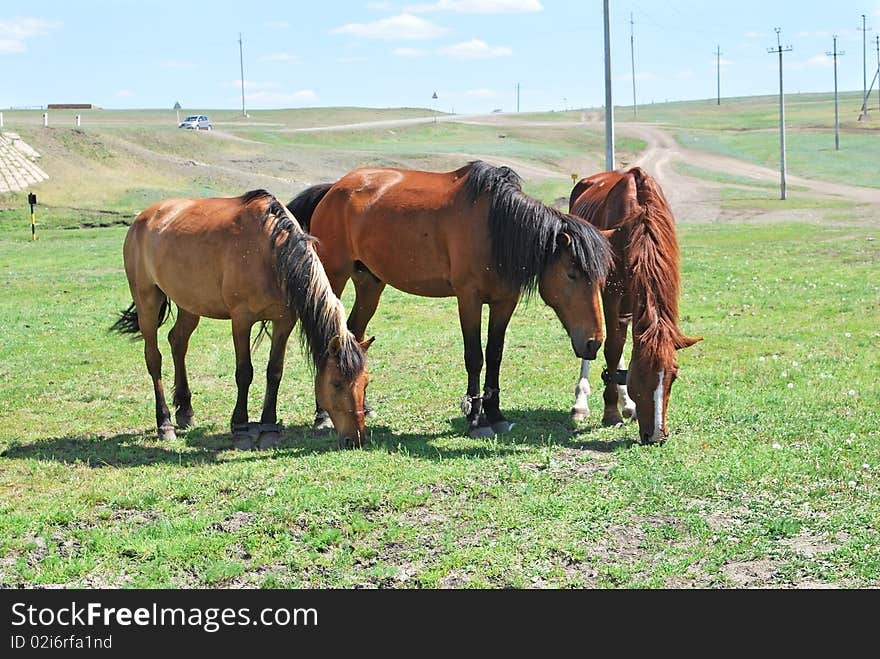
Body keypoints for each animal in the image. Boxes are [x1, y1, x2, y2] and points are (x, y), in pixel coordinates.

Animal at [110, 188, 372, 452]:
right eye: (337, 383)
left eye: (366, 383)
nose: (356, 439)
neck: (271, 252)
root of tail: (143, 218)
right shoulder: (241, 319)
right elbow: (244, 372)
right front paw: (241, 428)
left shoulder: (284, 321)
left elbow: (274, 371)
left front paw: (269, 428)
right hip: (147, 301)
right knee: (154, 358)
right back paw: (164, 424)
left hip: (189, 304)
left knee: (178, 341)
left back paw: (185, 411)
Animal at [288, 160, 612, 438]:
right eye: (572, 274)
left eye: (601, 278)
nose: (594, 342)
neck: (495, 227)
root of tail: (333, 189)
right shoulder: (468, 298)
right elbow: (475, 356)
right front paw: (476, 419)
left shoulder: (504, 301)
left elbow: (495, 355)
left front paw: (496, 415)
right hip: (333, 276)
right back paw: (323, 415)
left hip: (370, 282)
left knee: (354, 332)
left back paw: (364, 406)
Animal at [568, 168, 704, 446]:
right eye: (639, 375)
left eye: (673, 376)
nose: (656, 436)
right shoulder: (611, 293)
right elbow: (611, 347)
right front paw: (611, 412)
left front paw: (625, 403)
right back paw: (582, 403)